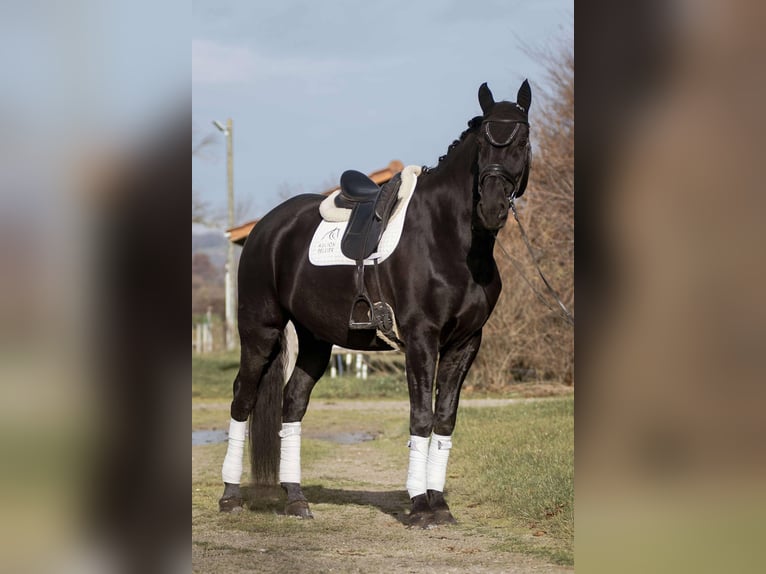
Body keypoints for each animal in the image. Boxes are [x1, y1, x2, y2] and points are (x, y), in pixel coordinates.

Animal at [220, 81, 536, 532]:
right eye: (482, 144)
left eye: (522, 141)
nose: (491, 208)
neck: (449, 239)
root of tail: (267, 227)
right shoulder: (421, 339)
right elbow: (421, 416)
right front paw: (419, 506)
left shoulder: (465, 344)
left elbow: (444, 419)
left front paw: (440, 504)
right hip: (260, 330)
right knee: (242, 400)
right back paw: (230, 496)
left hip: (315, 341)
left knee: (291, 404)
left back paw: (296, 499)